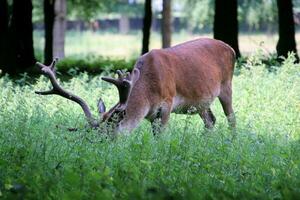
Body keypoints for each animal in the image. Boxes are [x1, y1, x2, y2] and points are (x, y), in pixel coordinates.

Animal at [35, 38, 237, 134]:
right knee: (210, 120)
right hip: (201, 100)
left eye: (108, 135)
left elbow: (162, 136)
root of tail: (231, 49)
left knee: (231, 118)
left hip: (226, 85)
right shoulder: (151, 115)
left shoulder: (168, 102)